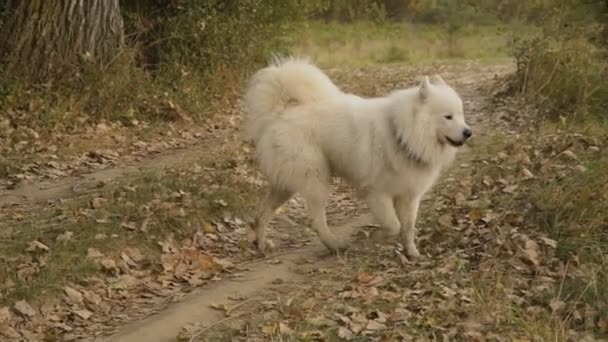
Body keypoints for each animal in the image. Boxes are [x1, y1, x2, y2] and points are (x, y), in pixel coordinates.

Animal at [242, 58, 470, 256]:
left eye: (461, 114)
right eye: (448, 116)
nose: (468, 132)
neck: (402, 135)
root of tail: (280, 114)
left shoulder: (409, 195)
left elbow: (408, 228)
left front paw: (412, 253)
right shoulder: (378, 193)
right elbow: (394, 225)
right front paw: (377, 238)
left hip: (285, 184)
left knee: (262, 213)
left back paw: (261, 244)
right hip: (316, 179)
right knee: (316, 220)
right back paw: (334, 245)